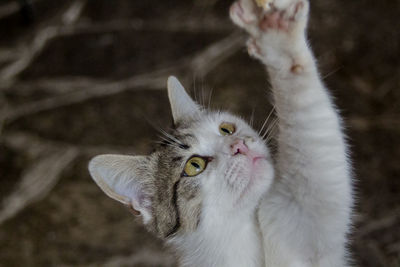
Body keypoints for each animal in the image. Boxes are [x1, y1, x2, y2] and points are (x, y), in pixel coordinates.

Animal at [88, 0, 354, 267]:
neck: (241, 236)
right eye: (194, 165)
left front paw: (279, 39)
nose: (239, 145)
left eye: (226, 129)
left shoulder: (302, 223)